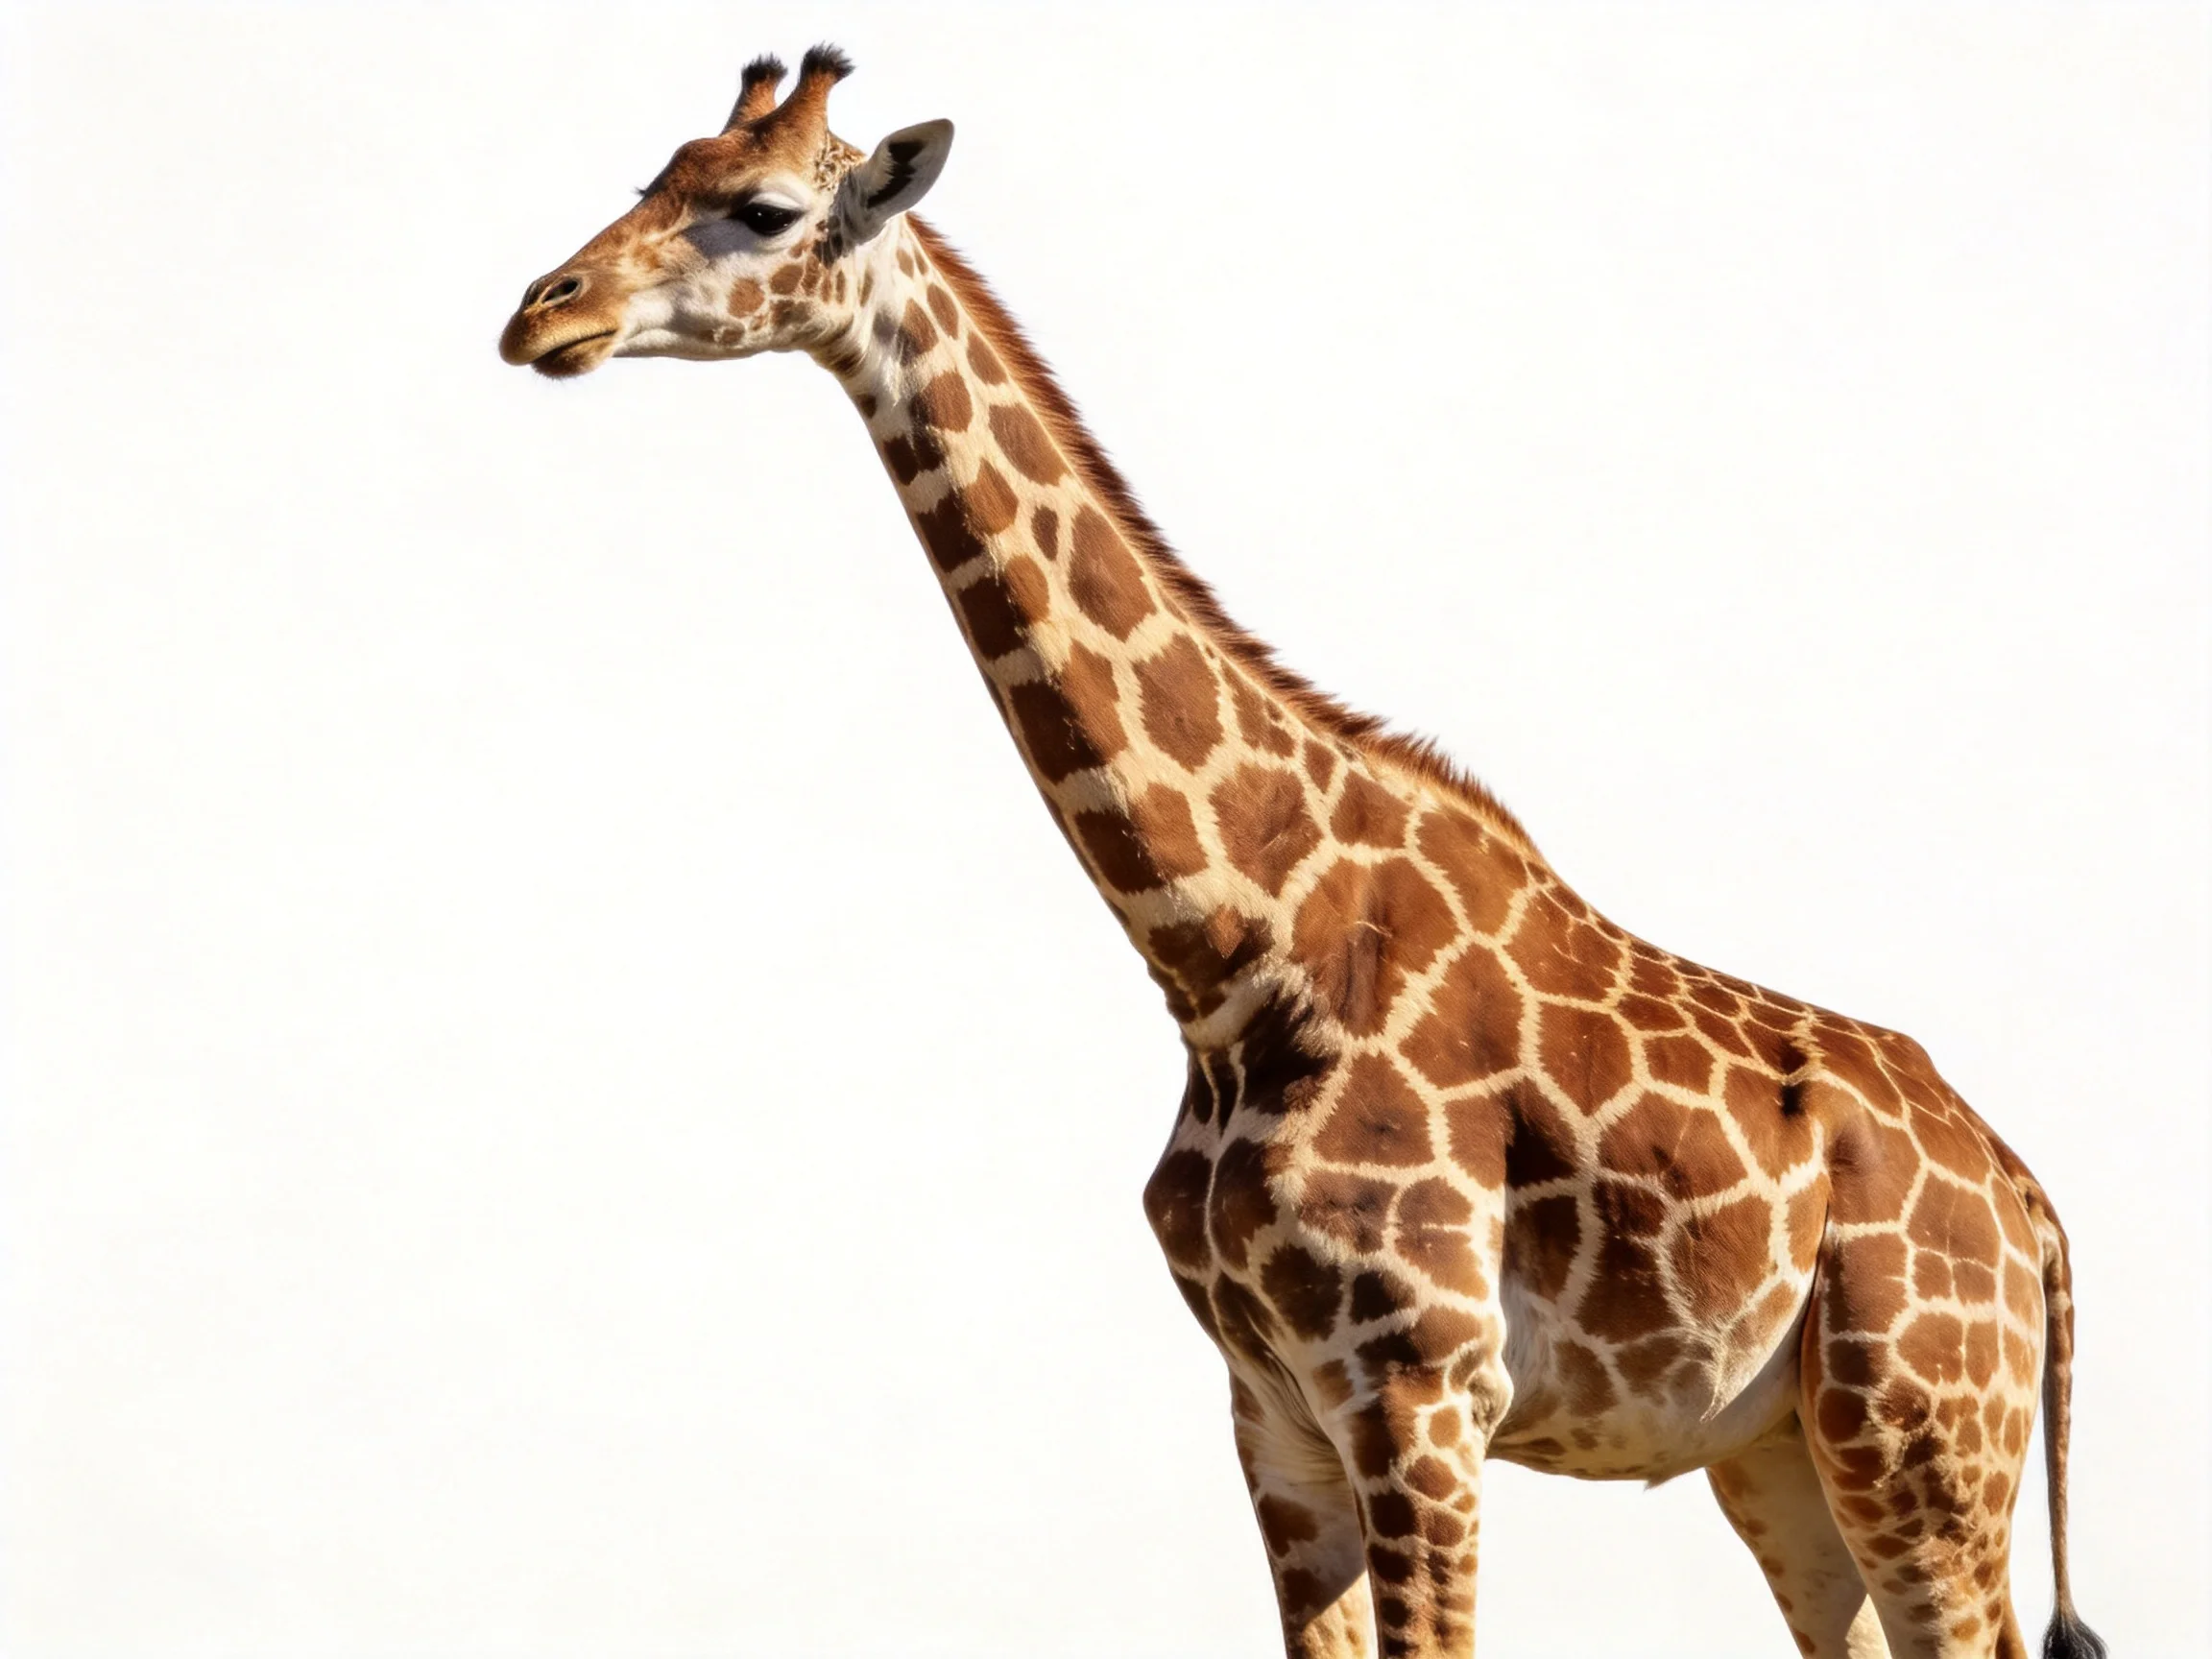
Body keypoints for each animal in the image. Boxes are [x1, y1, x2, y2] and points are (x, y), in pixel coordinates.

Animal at [497, 49, 2106, 1659]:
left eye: (764, 209)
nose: (541, 314)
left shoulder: (1422, 1392)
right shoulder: (1271, 1411)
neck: (1229, 953)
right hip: (1779, 1452)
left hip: (1926, 1439)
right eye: (658, 175)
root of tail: (2026, 1198)